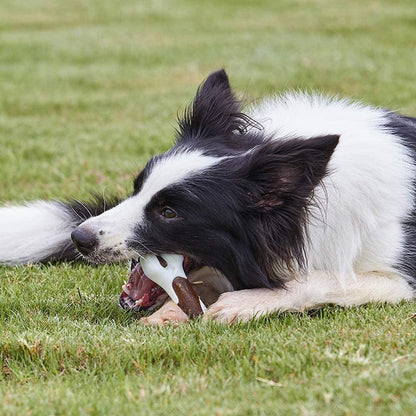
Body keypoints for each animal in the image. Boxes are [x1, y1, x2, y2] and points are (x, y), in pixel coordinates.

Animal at [0, 70, 416, 324]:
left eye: (169, 212)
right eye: (137, 188)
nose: (79, 238)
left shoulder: (400, 276)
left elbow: (327, 279)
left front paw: (247, 302)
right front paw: (174, 310)